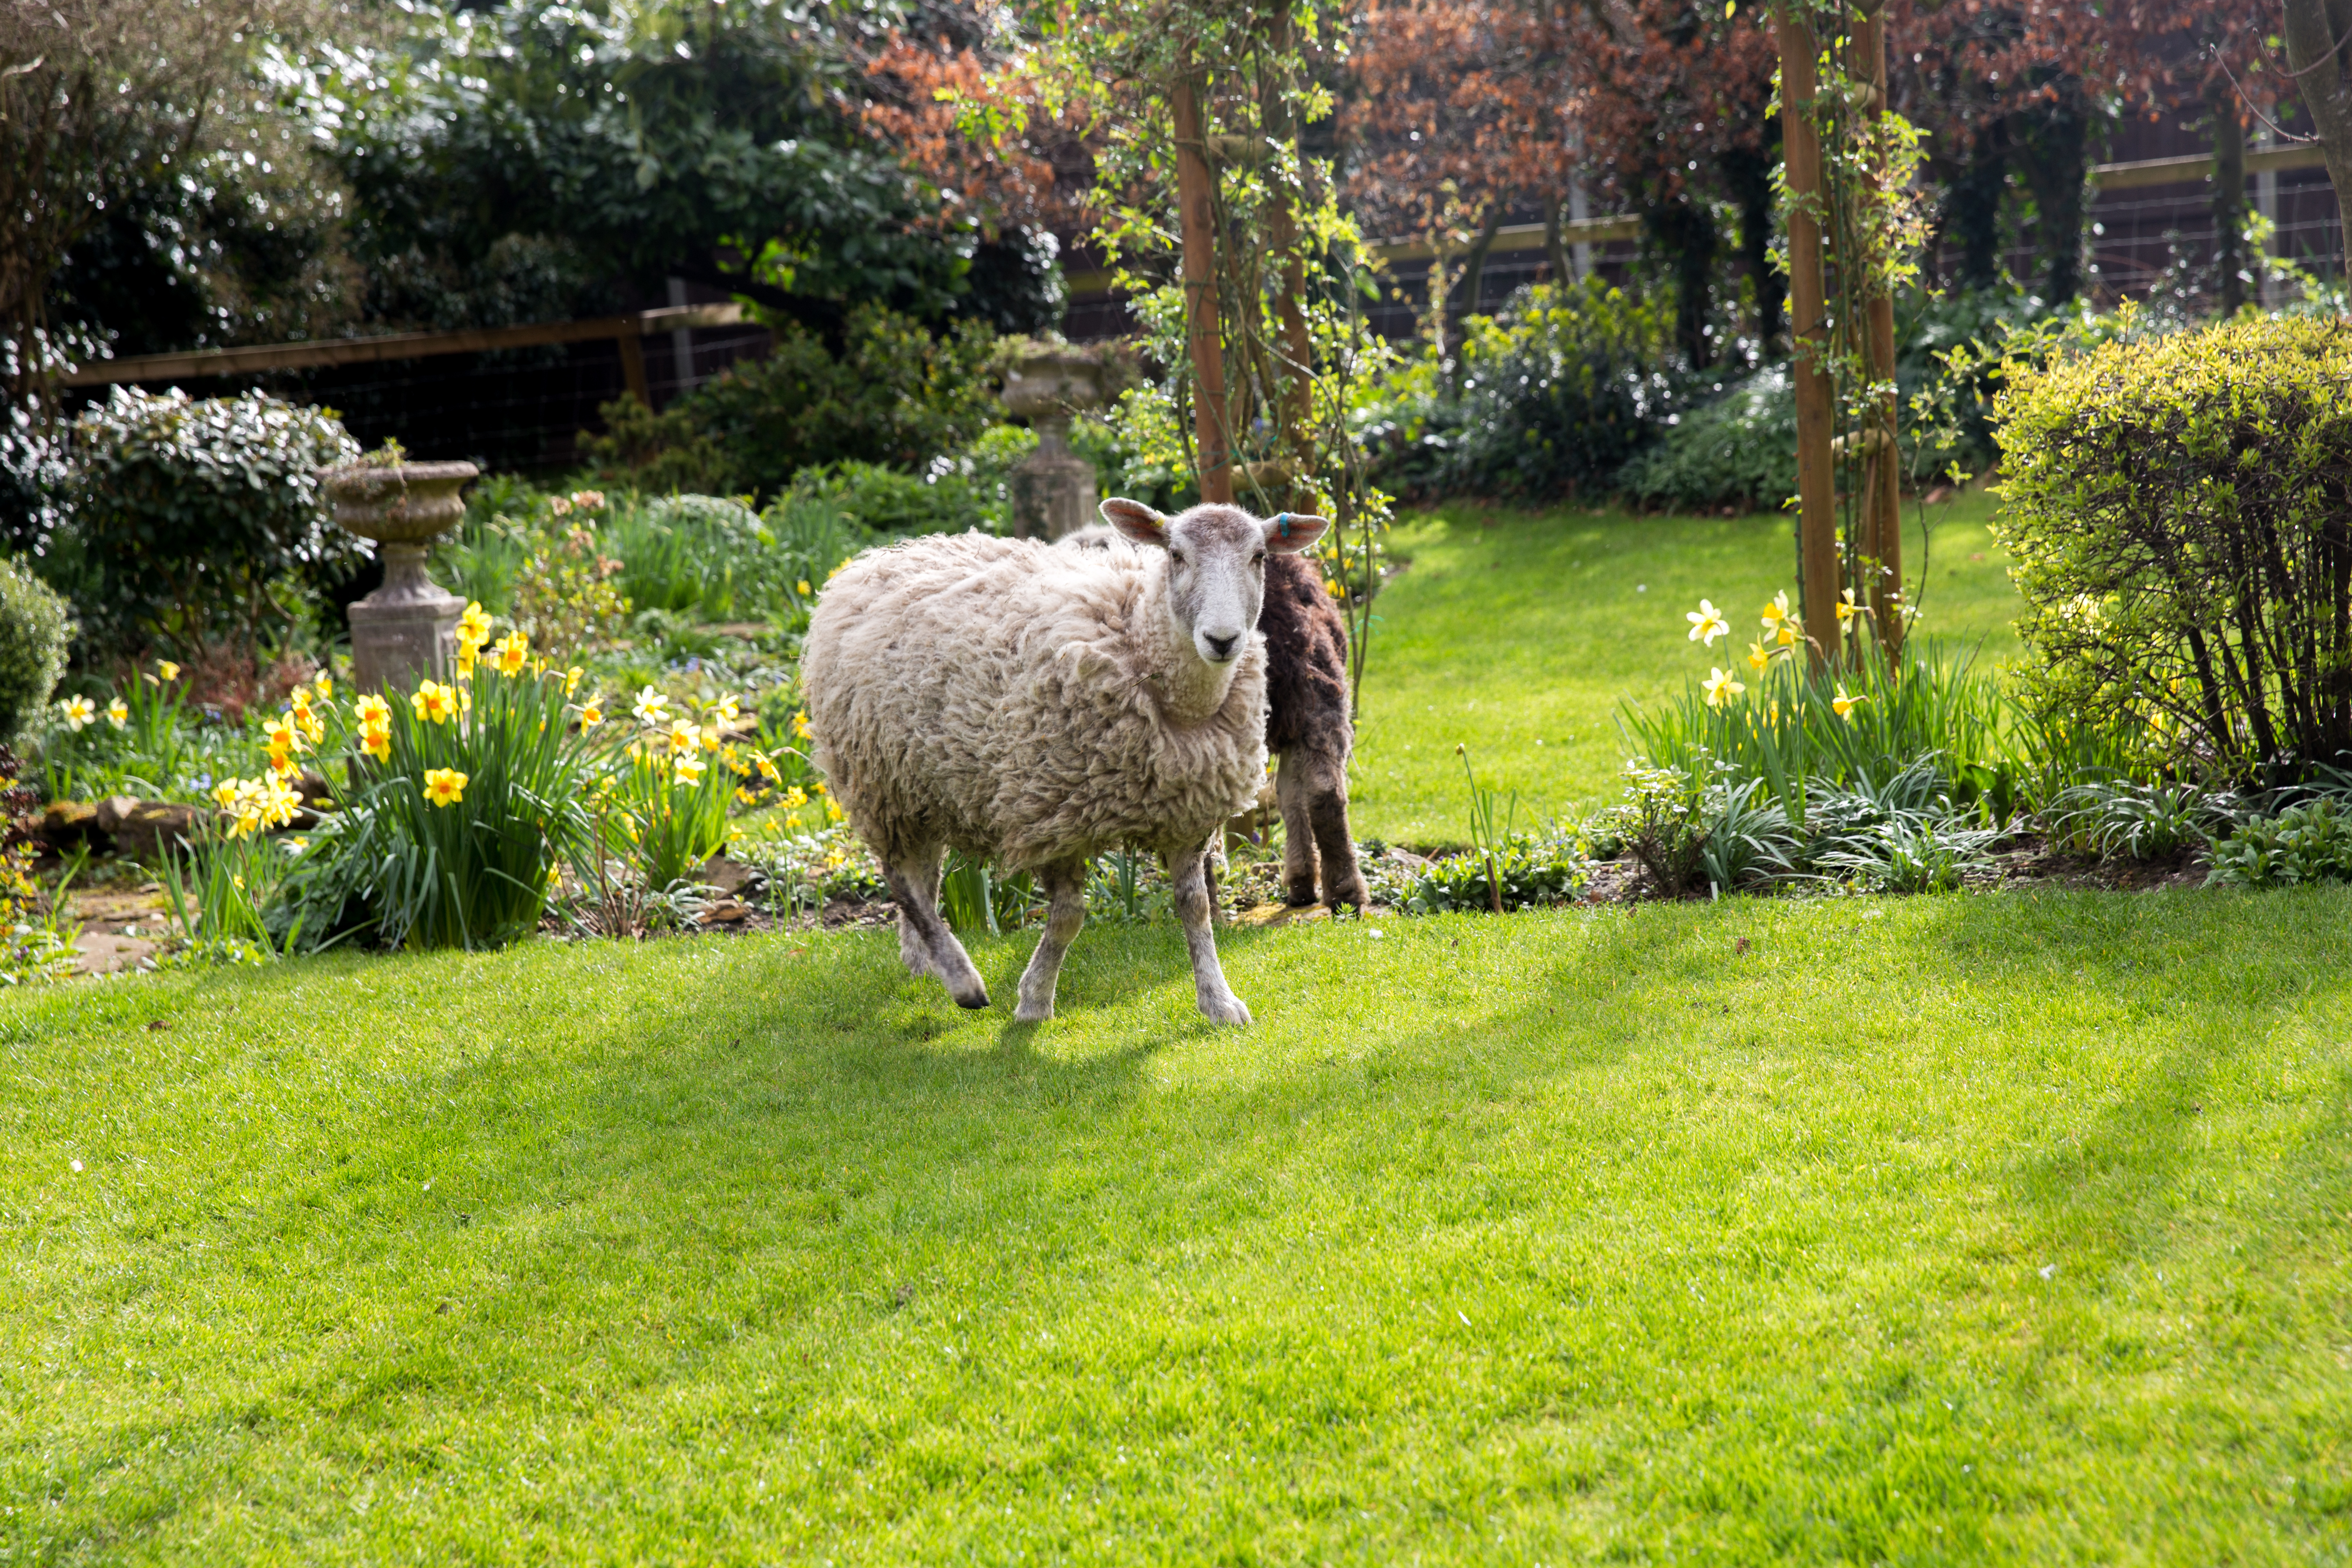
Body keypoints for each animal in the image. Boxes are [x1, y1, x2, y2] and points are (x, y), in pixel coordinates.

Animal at [800, 497, 1329, 1024]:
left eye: (1259, 556)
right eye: (1176, 555)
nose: (1222, 640)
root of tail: (880, 557)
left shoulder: (1186, 815)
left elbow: (1195, 908)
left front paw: (1218, 1001)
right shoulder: (1056, 812)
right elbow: (1070, 917)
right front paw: (1034, 1001)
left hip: (924, 783)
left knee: (923, 874)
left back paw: (922, 961)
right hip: (875, 777)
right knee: (900, 878)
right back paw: (962, 979)